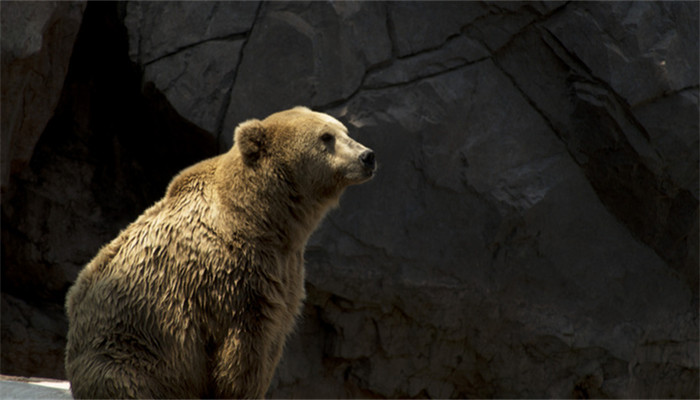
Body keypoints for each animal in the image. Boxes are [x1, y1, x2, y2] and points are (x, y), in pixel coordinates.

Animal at [64, 106, 376, 399]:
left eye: (344, 130)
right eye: (326, 137)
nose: (367, 156)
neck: (269, 218)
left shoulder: (286, 268)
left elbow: (275, 337)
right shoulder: (233, 276)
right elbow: (243, 353)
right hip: (127, 351)